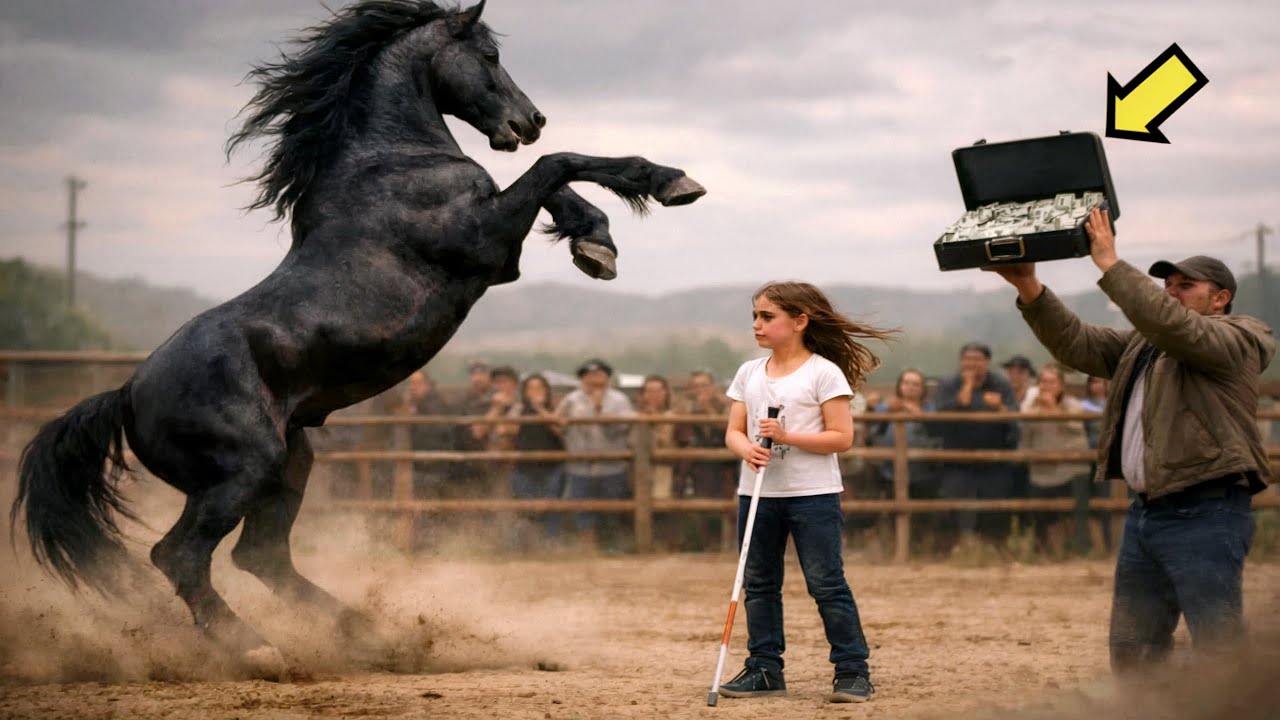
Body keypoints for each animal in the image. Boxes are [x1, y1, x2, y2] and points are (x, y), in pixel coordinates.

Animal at [11, 0, 704, 678]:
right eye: (488, 55)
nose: (530, 119)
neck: (390, 161)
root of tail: (126, 393)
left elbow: (556, 182)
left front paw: (597, 243)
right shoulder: (488, 244)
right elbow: (556, 164)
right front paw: (669, 184)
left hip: (291, 462)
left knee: (260, 557)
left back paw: (373, 635)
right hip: (244, 468)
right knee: (179, 555)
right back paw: (259, 650)